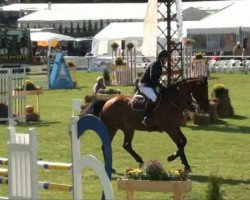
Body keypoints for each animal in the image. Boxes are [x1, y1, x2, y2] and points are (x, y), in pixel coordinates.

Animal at [81, 76, 209, 173]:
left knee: (126, 145)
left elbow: (184, 142)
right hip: (111, 128)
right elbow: (180, 144)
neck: (173, 100)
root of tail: (107, 101)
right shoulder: (170, 128)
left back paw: (139, 162)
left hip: (128, 128)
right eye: (203, 91)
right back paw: (115, 166)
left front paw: (173, 157)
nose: (205, 107)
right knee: (107, 146)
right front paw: (185, 165)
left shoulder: (174, 126)